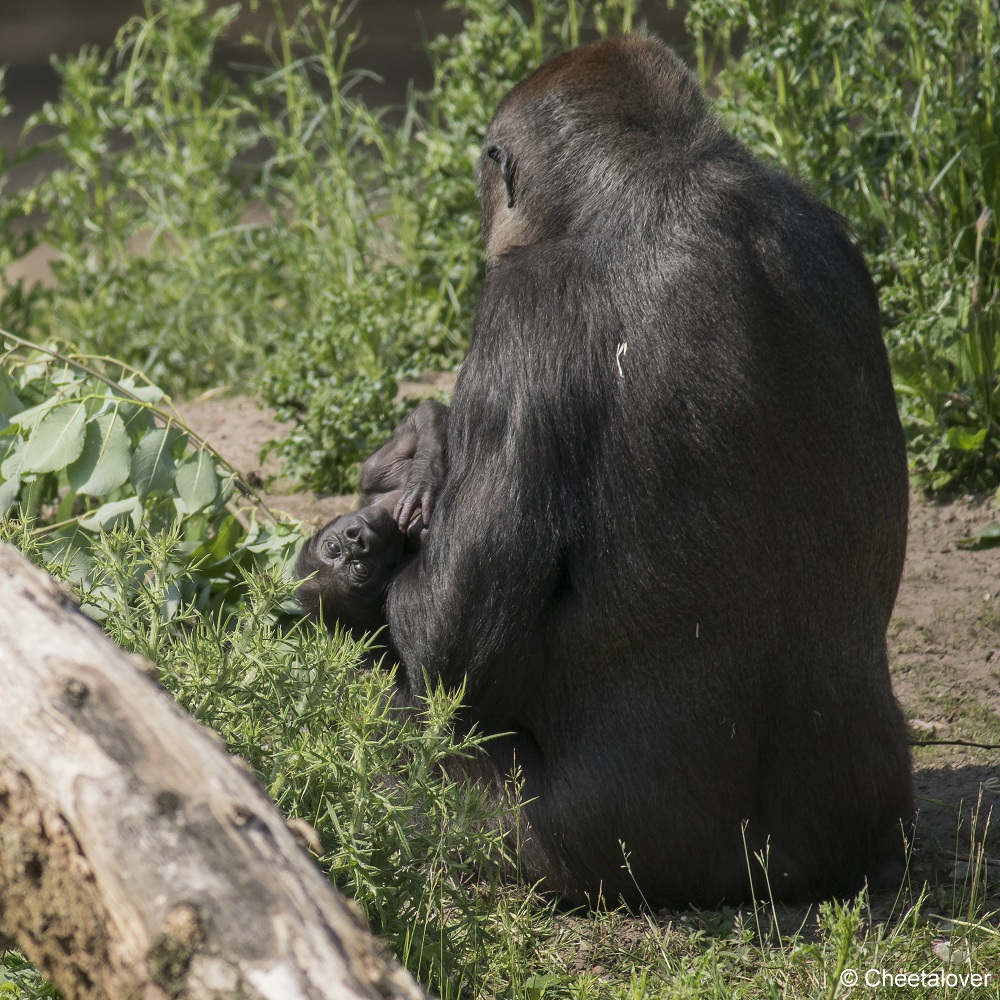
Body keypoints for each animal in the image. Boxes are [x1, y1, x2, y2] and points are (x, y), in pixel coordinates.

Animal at [294, 398, 448, 640]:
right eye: (360, 569)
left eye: (332, 547)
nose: (356, 540)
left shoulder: (371, 476)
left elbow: (425, 414)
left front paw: (425, 474)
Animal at [378, 33, 912, 908]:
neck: (662, 180)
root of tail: (756, 883)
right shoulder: (835, 233)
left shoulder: (521, 305)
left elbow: (447, 646)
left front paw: (421, 453)